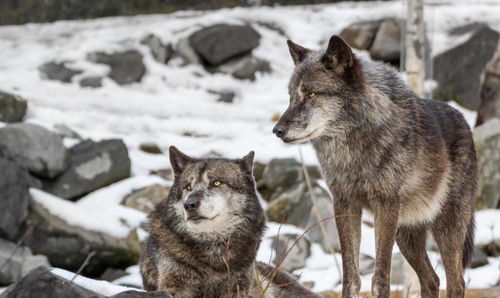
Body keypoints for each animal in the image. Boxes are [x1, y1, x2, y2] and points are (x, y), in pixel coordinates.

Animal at [141, 147, 320, 298]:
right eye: (188, 187)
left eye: (216, 182)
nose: (189, 204)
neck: (213, 252)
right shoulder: (174, 285)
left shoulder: (238, 286)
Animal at [274, 35, 476, 298]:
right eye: (291, 96)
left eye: (311, 94)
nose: (277, 130)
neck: (352, 153)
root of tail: (465, 122)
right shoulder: (344, 204)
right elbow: (351, 276)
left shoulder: (386, 206)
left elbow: (380, 277)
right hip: (406, 233)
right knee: (432, 280)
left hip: (447, 227)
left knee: (456, 282)